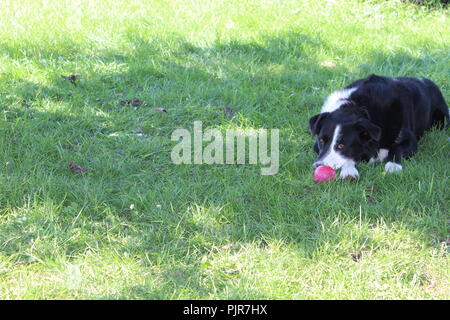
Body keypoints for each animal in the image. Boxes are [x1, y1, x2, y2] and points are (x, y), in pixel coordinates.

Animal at [310, 75, 450, 180]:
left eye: (341, 145)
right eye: (321, 141)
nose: (317, 165)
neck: (361, 108)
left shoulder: (410, 140)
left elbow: (397, 148)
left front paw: (393, 166)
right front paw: (349, 171)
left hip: (441, 120)